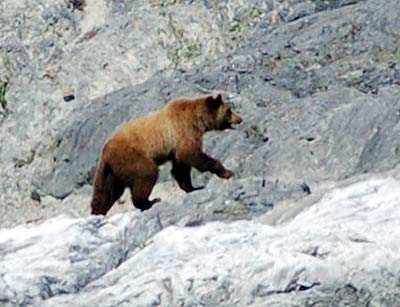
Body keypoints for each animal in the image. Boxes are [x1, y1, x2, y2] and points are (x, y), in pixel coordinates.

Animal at [90, 94, 242, 217]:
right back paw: (150, 202)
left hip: (112, 171)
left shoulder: (175, 144)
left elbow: (180, 167)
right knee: (147, 173)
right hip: (131, 157)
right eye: (229, 110)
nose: (240, 119)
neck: (197, 119)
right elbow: (191, 154)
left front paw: (193, 187)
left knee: (106, 192)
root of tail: (105, 152)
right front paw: (227, 172)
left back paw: (97, 211)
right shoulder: (184, 131)